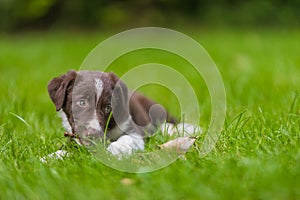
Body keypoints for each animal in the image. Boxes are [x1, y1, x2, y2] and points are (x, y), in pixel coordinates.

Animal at [48, 70, 177, 156]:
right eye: (81, 102)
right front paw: (52, 157)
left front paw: (117, 148)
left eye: (108, 108)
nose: (94, 135)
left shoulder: (135, 132)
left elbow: (127, 138)